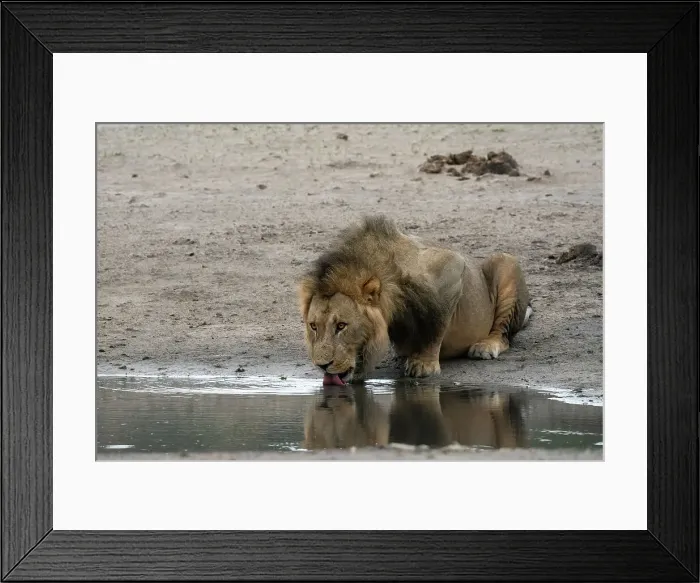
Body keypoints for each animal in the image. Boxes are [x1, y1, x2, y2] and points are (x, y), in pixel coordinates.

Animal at [297, 215, 532, 384]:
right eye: (313, 326)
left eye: (341, 326)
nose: (322, 365)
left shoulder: (451, 268)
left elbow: (436, 326)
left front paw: (424, 364)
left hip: (505, 262)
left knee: (503, 334)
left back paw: (485, 346)